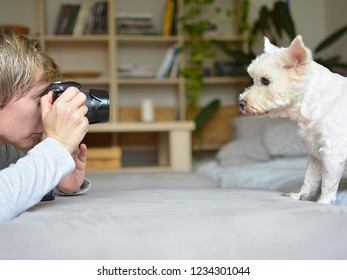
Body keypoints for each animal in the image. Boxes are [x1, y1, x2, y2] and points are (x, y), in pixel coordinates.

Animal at [241, 36, 347, 205]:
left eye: (265, 81)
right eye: (254, 79)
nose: (241, 103)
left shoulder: (333, 153)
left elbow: (328, 183)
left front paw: (323, 203)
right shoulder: (315, 154)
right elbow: (309, 178)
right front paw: (300, 196)